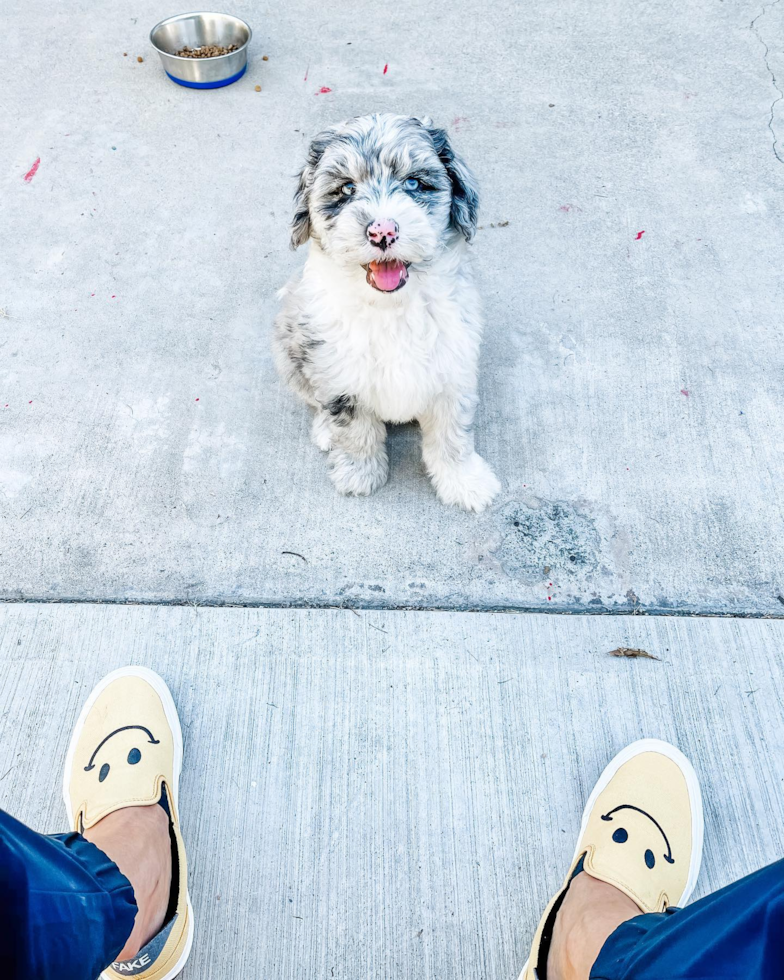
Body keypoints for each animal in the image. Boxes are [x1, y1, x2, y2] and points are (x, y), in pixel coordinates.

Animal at [272, 114, 500, 512]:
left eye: (414, 183)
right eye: (346, 189)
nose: (382, 231)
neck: (392, 308)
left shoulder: (453, 371)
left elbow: (453, 436)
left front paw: (465, 483)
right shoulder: (339, 377)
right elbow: (354, 431)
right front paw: (360, 475)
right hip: (288, 347)